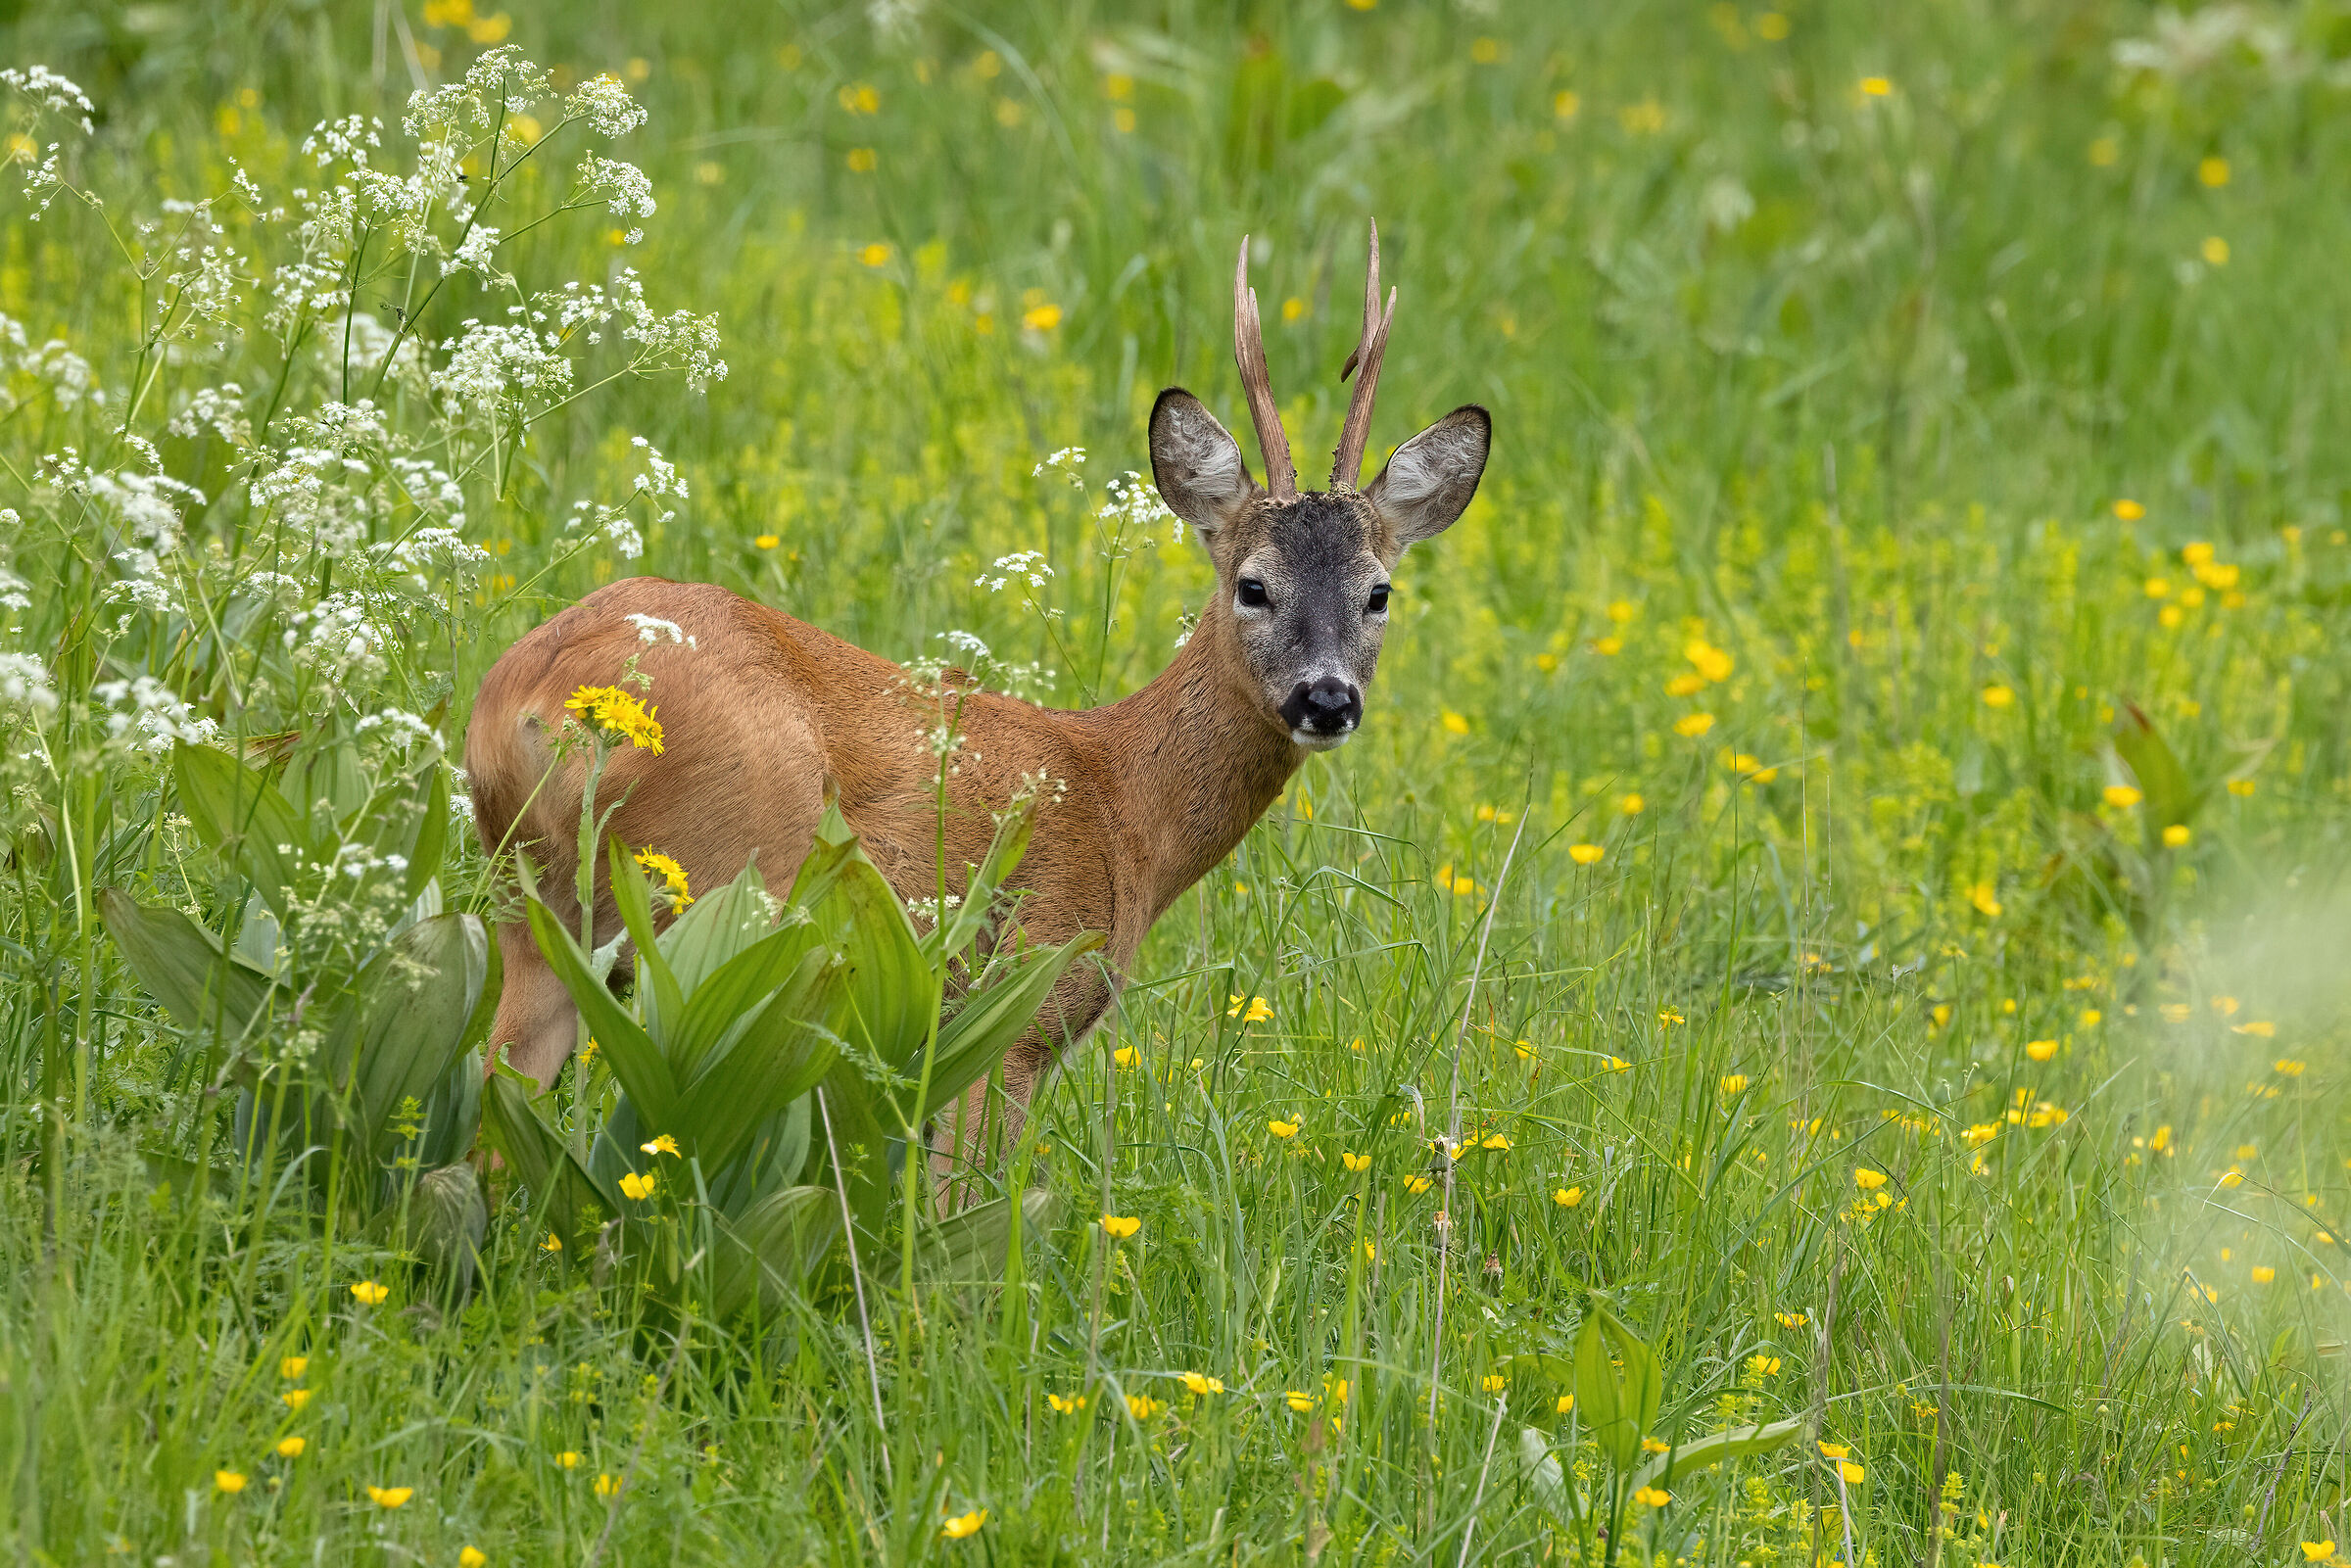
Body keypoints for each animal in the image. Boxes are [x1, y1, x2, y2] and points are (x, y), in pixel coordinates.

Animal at [464, 222, 1490, 1142]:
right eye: (1253, 585)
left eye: (1378, 592)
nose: (1327, 698)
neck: (1125, 806)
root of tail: (539, 699)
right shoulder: (1010, 1017)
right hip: (714, 901)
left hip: (535, 910)